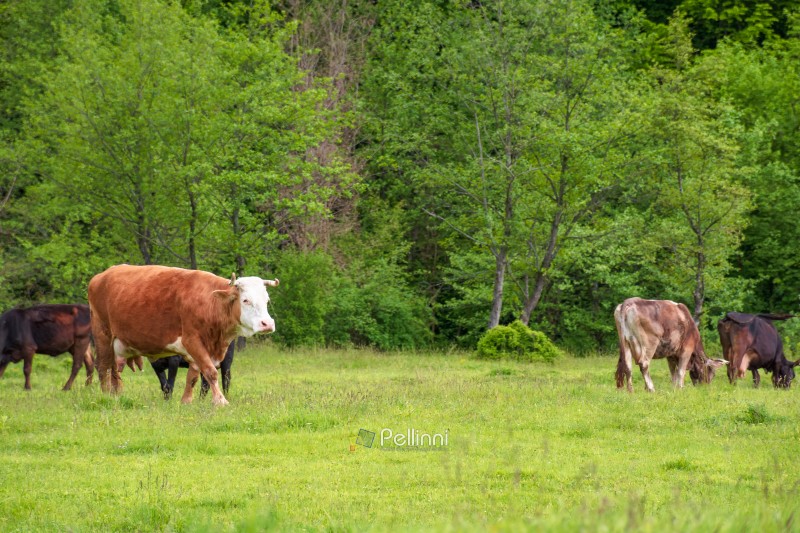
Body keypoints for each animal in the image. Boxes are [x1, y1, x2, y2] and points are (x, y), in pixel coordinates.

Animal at [88, 264, 278, 405]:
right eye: (245, 300)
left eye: (267, 300)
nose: (267, 324)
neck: (209, 303)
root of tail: (102, 275)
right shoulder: (192, 341)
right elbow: (210, 372)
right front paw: (220, 401)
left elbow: (193, 377)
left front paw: (186, 401)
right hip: (102, 333)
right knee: (103, 367)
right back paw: (105, 395)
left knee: (114, 369)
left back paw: (117, 394)